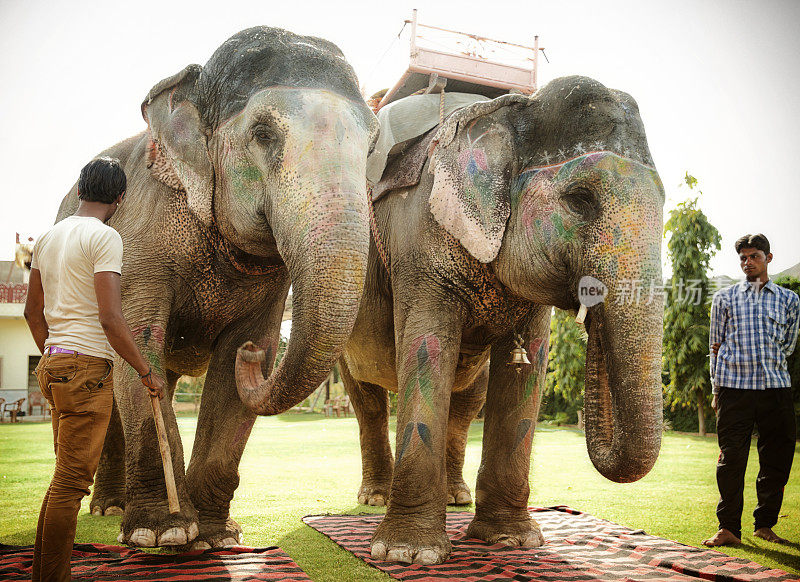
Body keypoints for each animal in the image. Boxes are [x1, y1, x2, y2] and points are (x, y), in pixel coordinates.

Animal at [55, 25, 378, 548]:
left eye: (371, 147)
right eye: (263, 133)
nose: (256, 359)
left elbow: (233, 365)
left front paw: (214, 538)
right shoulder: (140, 239)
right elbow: (138, 342)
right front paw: (161, 534)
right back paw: (109, 510)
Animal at [252, 77, 668, 564]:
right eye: (580, 200)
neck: (511, 112)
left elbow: (524, 372)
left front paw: (511, 541)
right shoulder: (419, 239)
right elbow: (426, 349)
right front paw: (408, 554)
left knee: (467, 402)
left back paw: (456, 498)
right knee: (367, 398)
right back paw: (374, 497)